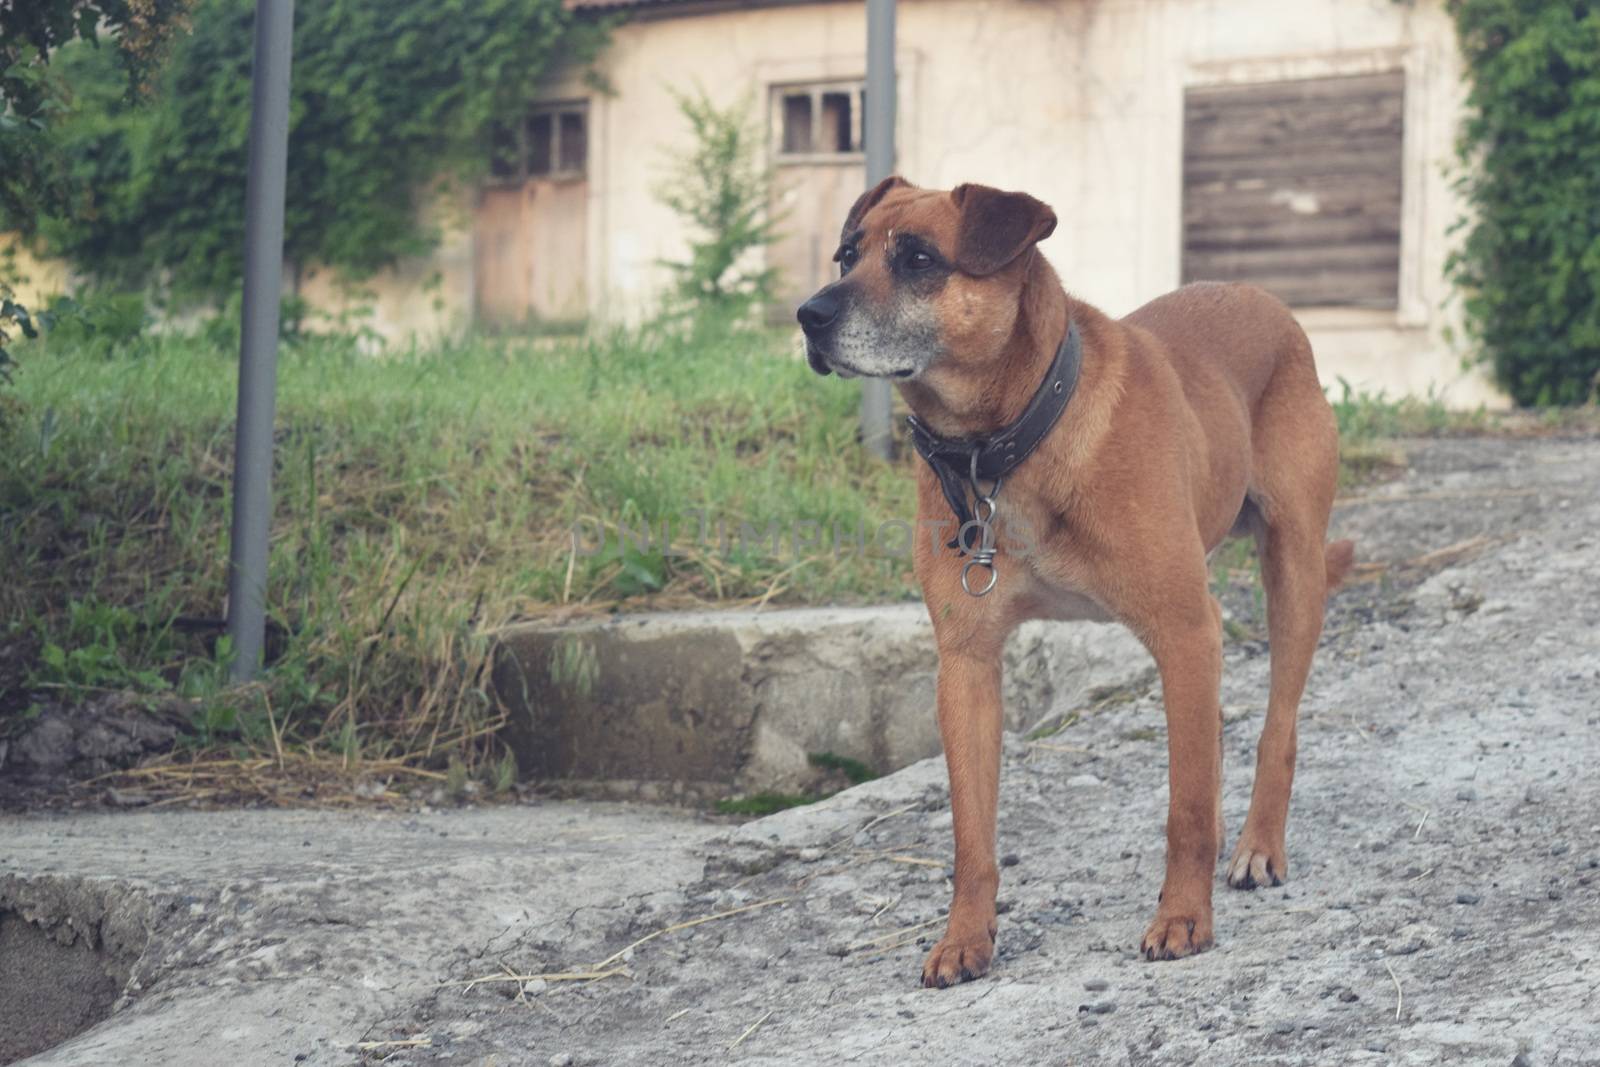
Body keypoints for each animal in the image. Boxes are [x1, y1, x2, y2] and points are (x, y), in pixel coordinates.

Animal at [800, 175, 1350, 985]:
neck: (1010, 443)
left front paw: (1183, 916)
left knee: (1276, 727)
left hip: (1294, 574)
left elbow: (1186, 808)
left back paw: (1257, 844)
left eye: (920, 259)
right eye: (846, 255)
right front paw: (964, 935)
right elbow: (972, 833)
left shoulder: (1184, 631)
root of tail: (1264, 299)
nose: (808, 315)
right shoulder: (966, 664)